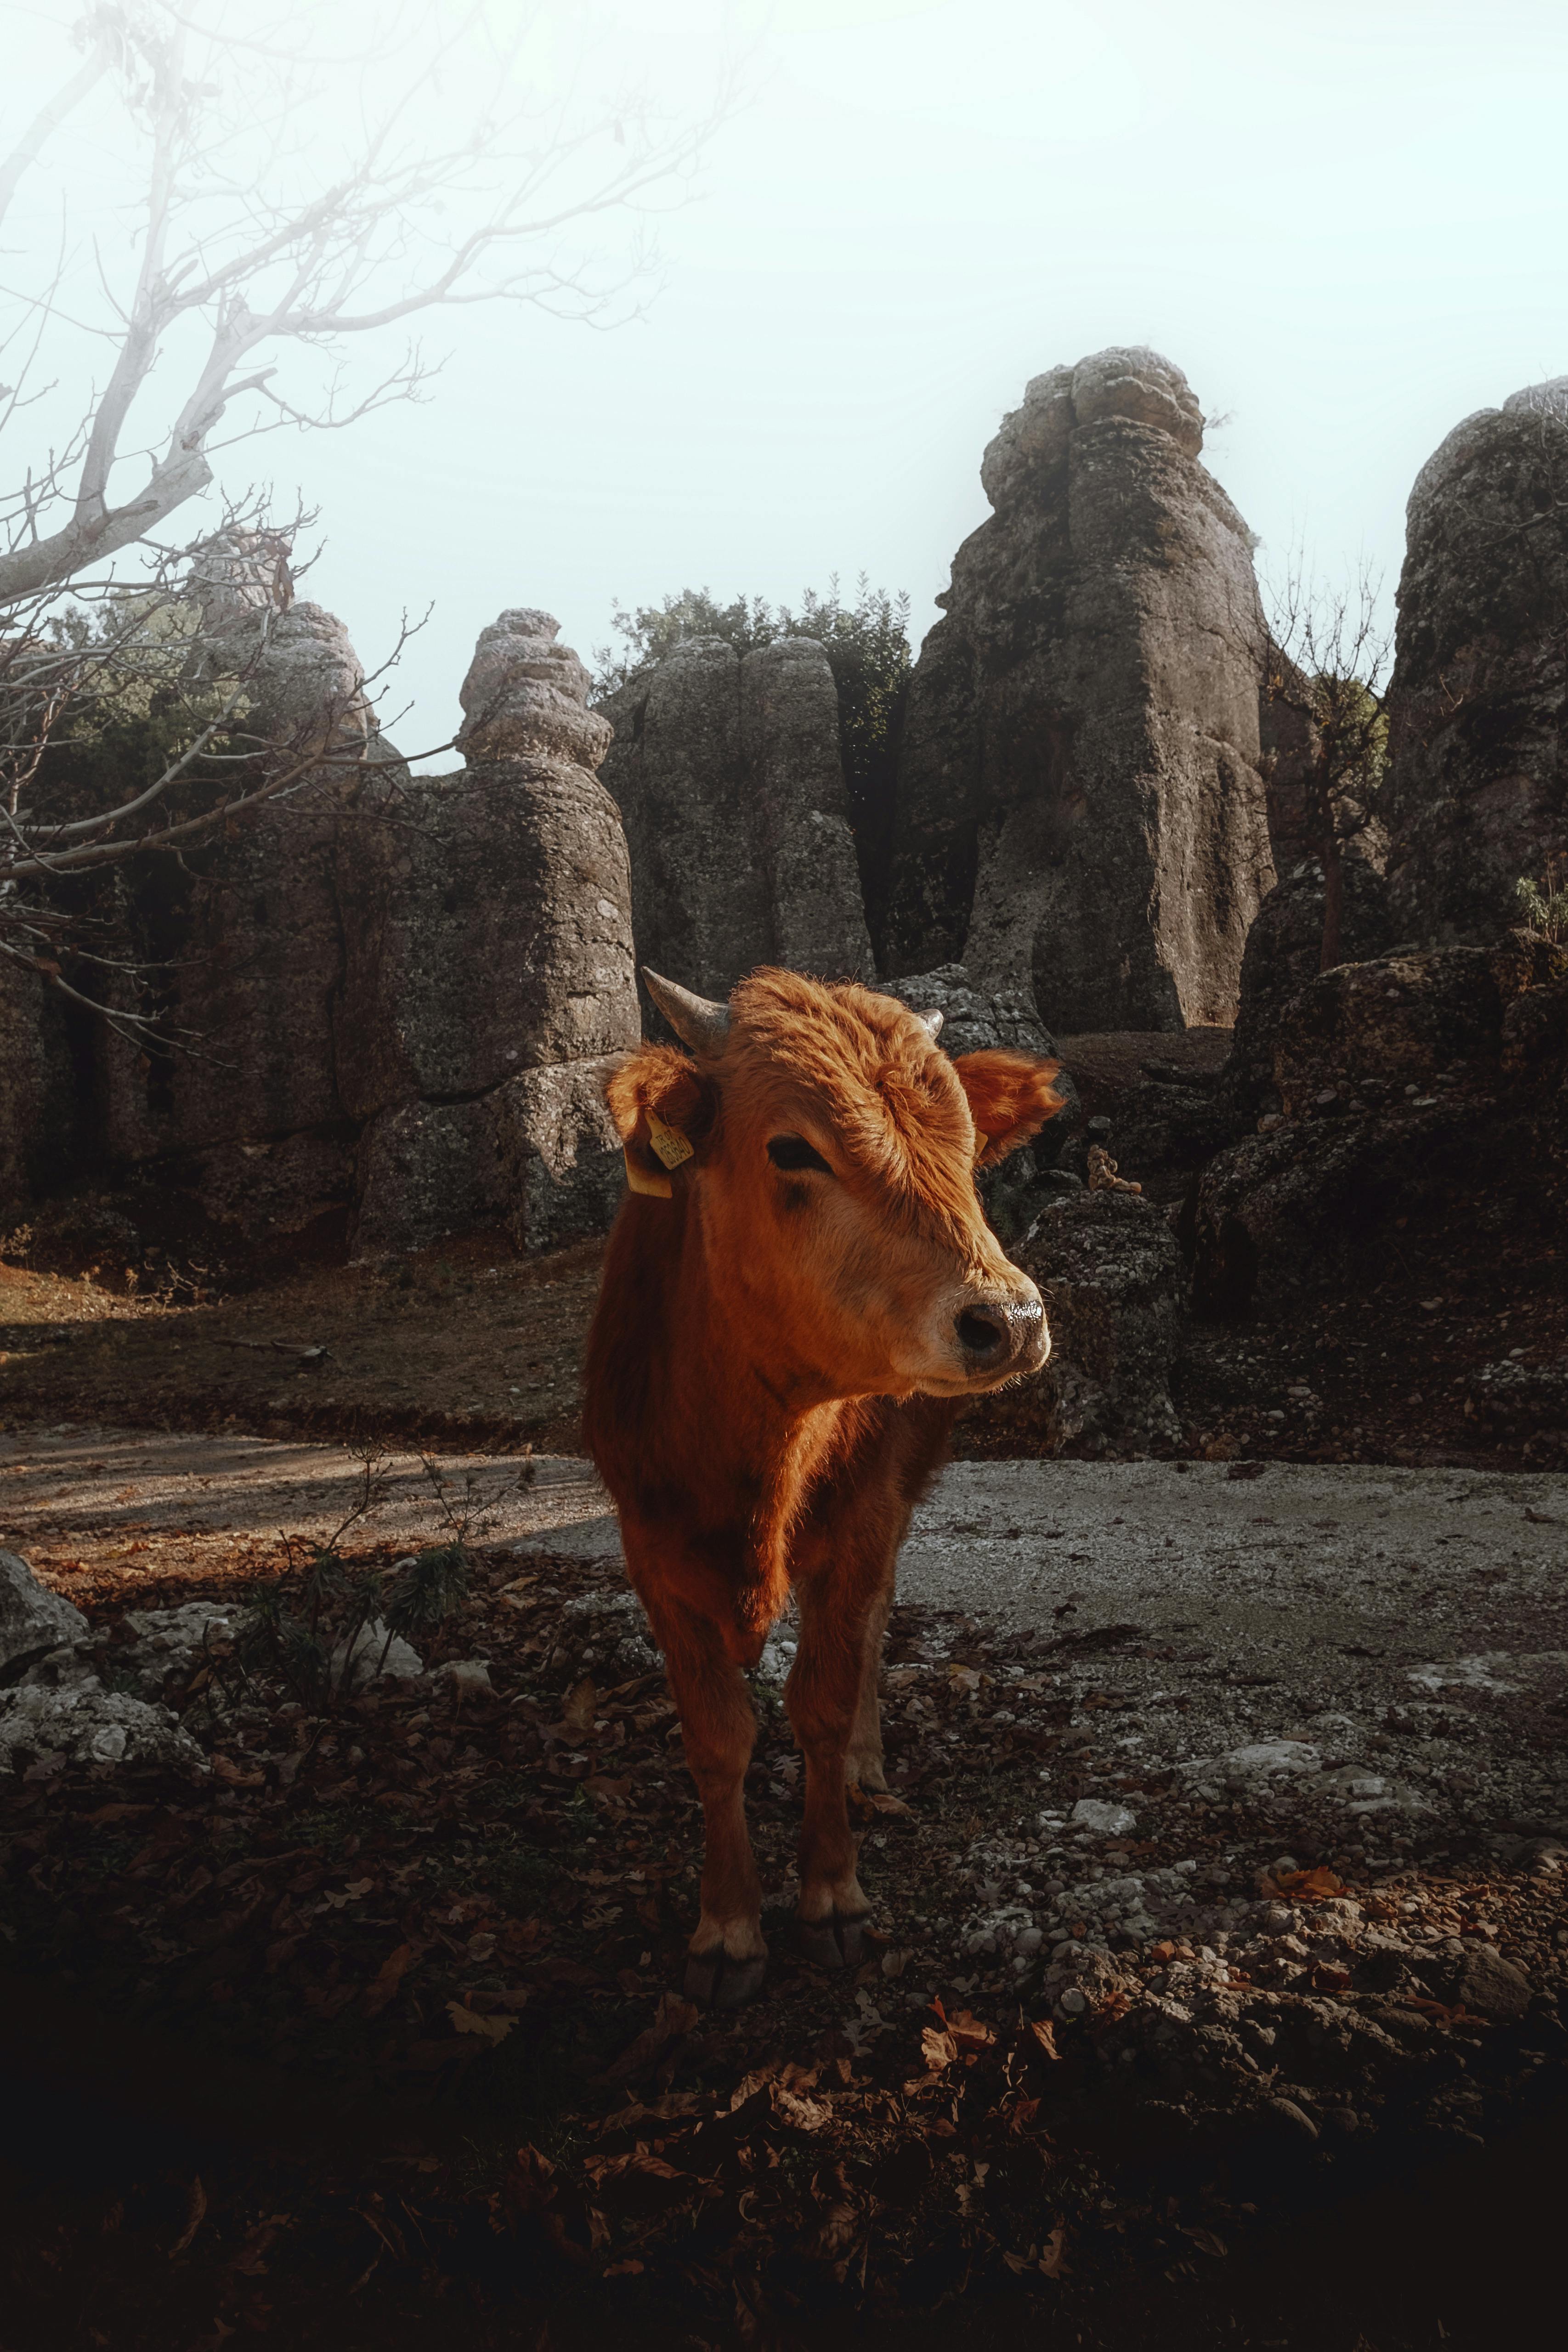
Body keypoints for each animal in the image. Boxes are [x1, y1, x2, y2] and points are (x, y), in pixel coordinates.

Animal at [583, 965, 1064, 2006]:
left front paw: (829, 1897)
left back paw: (861, 1767)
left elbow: (823, 1699)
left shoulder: (859, 1521)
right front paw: (726, 1927)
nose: (1007, 1320)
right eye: (792, 1148)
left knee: (873, 1625)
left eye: (966, 1147)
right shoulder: (649, 1550)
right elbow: (716, 1734)